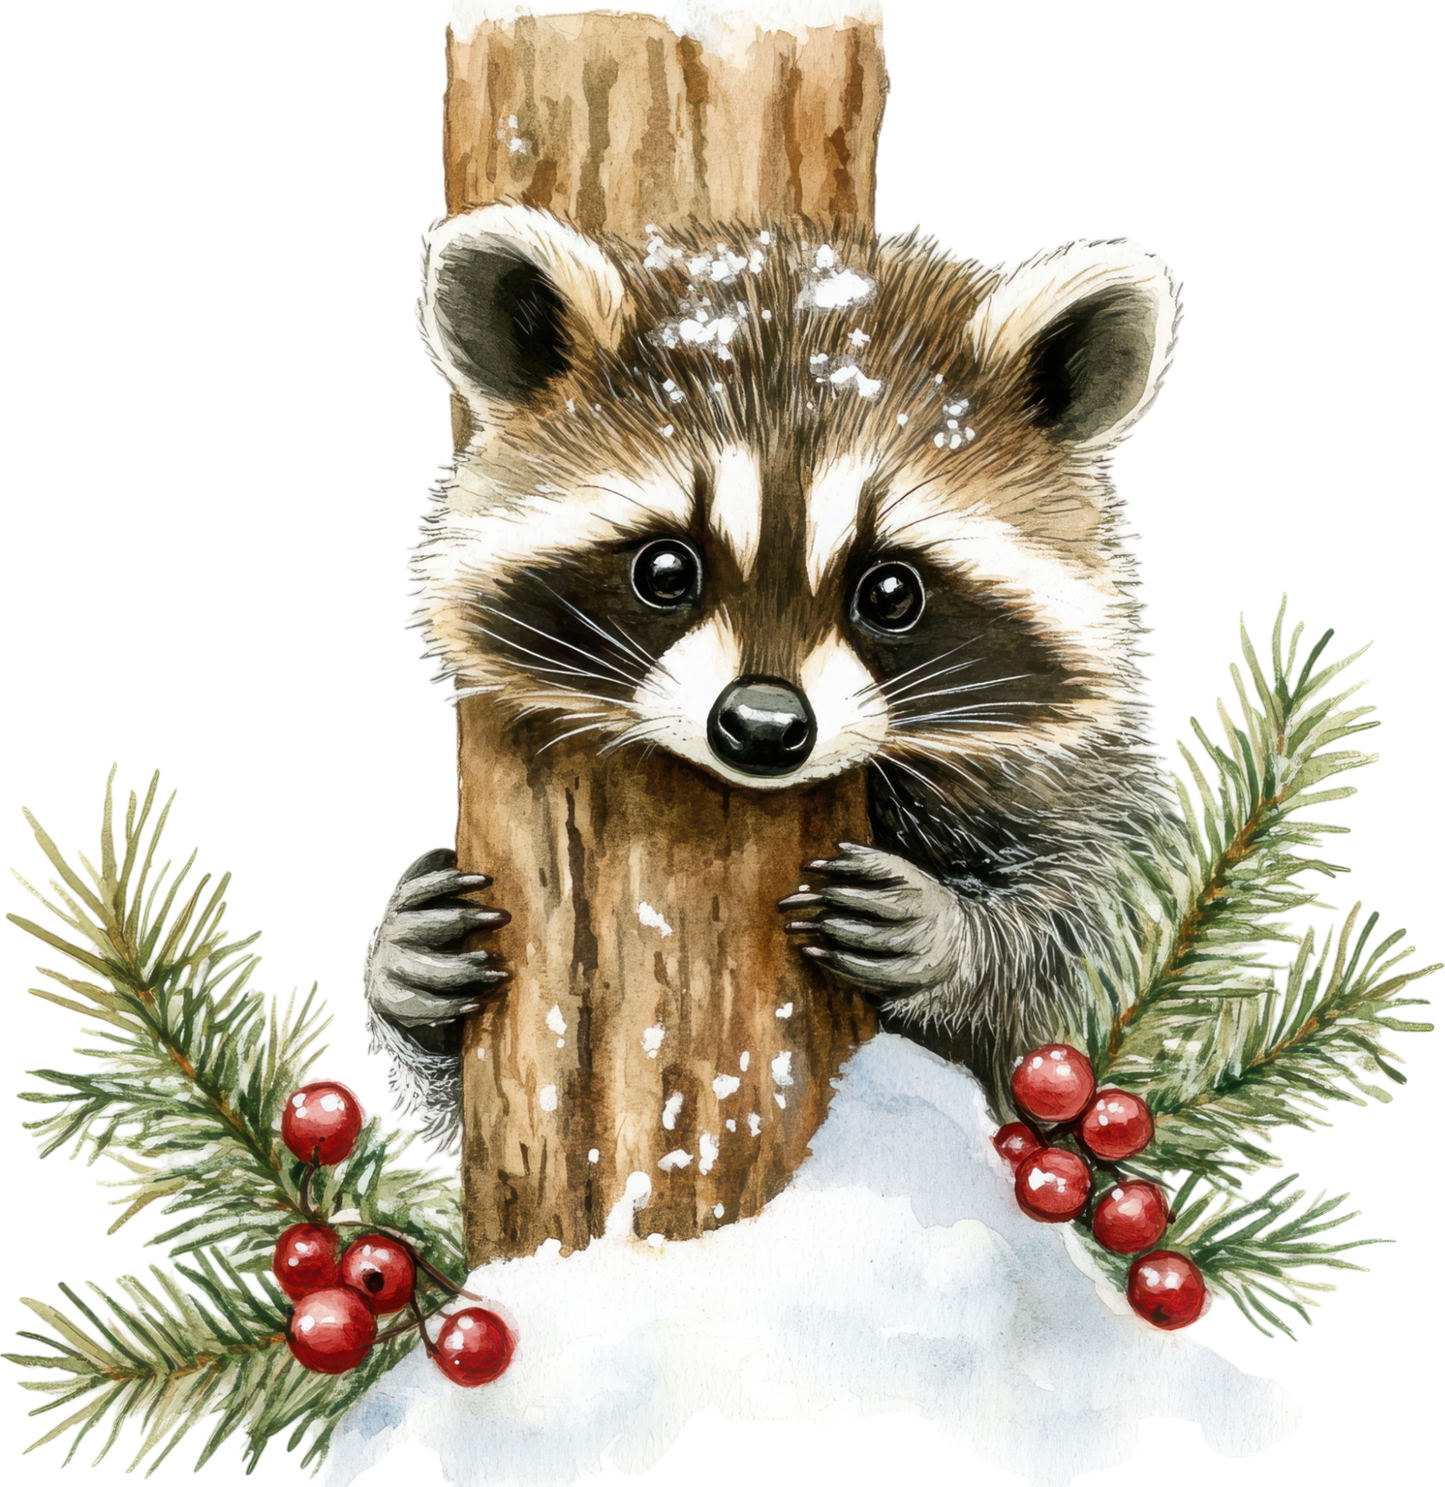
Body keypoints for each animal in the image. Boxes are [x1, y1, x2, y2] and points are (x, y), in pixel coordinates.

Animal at [361, 203, 1185, 1159]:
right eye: (665, 569)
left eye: (891, 591)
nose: (760, 725)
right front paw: (396, 966)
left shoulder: (1084, 784)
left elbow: (1098, 928)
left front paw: (960, 940)